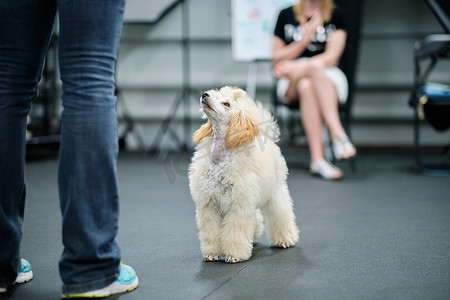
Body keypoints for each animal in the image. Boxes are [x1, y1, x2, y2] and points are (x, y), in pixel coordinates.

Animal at [189, 86, 298, 262]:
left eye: (226, 104)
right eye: (213, 94)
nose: (205, 95)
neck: (221, 158)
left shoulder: (238, 205)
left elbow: (235, 231)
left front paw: (234, 255)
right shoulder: (209, 205)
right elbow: (210, 231)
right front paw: (211, 253)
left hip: (275, 191)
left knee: (280, 212)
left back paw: (285, 239)